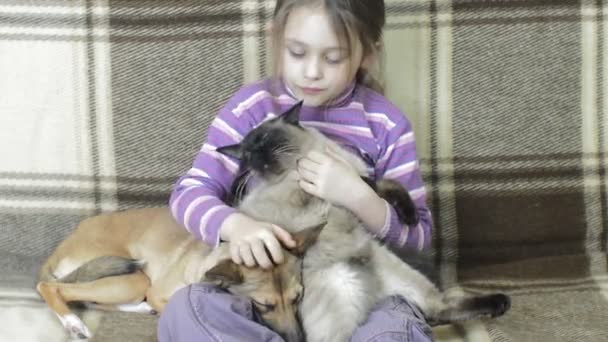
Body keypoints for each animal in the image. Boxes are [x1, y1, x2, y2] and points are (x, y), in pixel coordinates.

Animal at [36, 207, 324, 340]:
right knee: (52, 288)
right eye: (263, 305)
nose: (298, 341)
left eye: (298, 298)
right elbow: (166, 303)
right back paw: (73, 322)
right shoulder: (157, 292)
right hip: (133, 278)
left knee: (87, 299)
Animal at [216, 101, 510, 342]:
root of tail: (371, 291)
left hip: (397, 273)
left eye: (265, 139)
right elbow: (375, 183)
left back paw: (501, 302)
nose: (256, 157)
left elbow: (380, 186)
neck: (297, 165)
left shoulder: (350, 180)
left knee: (437, 309)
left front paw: (409, 216)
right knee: (433, 313)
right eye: (246, 153)